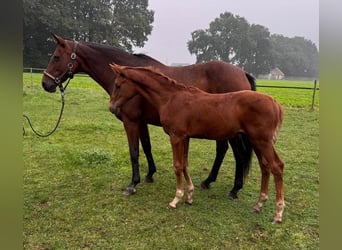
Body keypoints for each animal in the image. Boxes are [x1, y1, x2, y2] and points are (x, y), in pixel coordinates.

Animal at [41, 33, 255, 197]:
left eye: (56, 57)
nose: (45, 83)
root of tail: (242, 73)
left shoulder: (131, 122)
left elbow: (134, 152)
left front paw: (132, 184)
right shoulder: (142, 122)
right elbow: (146, 147)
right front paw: (150, 175)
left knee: (238, 154)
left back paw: (234, 189)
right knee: (222, 150)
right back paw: (208, 181)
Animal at [110, 64, 286, 223]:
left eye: (118, 85)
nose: (112, 108)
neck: (171, 98)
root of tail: (275, 104)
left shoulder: (176, 136)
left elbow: (177, 166)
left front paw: (176, 199)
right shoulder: (185, 137)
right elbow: (185, 164)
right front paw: (189, 196)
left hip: (262, 141)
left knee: (276, 166)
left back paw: (277, 214)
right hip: (256, 141)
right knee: (265, 167)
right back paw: (258, 205)